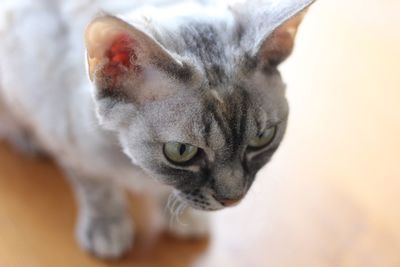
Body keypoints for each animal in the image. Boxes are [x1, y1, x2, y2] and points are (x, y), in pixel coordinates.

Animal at [0, 0, 312, 260]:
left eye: (262, 138)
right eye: (181, 152)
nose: (232, 199)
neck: (135, 166)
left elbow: (166, 189)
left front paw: (183, 218)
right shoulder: (68, 143)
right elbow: (97, 189)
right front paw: (108, 227)